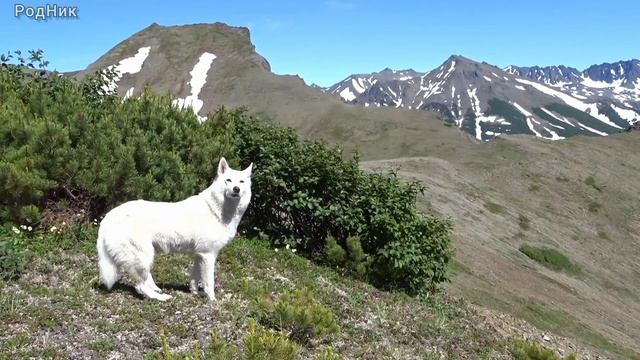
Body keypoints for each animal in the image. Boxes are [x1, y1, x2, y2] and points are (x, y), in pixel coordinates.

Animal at [97, 158, 252, 300]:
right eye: (228, 180)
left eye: (241, 182)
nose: (236, 189)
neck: (217, 210)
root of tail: (109, 216)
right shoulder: (208, 256)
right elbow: (209, 282)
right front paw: (212, 301)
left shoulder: (199, 255)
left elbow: (194, 278)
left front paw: (195, 293)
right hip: (144, 255)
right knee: (140, 285)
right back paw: (160, 297)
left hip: (145, 256)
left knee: (145, 279)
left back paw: (156, 289)